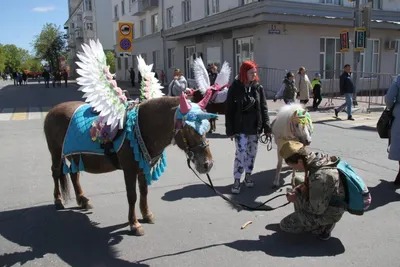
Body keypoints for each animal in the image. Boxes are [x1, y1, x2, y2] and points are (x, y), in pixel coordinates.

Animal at [43, 96, 216, 237]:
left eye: (206, 127)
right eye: (189, 129)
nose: (207, 164)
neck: (141, 127)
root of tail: (53, 110)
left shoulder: (143, 168)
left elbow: (144, 191)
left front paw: (146, 214)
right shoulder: (129, 170)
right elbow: (132, 196)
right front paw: (134, 224)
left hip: (75, 156)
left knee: (74, 175)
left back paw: (82, 199)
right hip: (56, 152)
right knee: (56, 173)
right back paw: (58, 200)